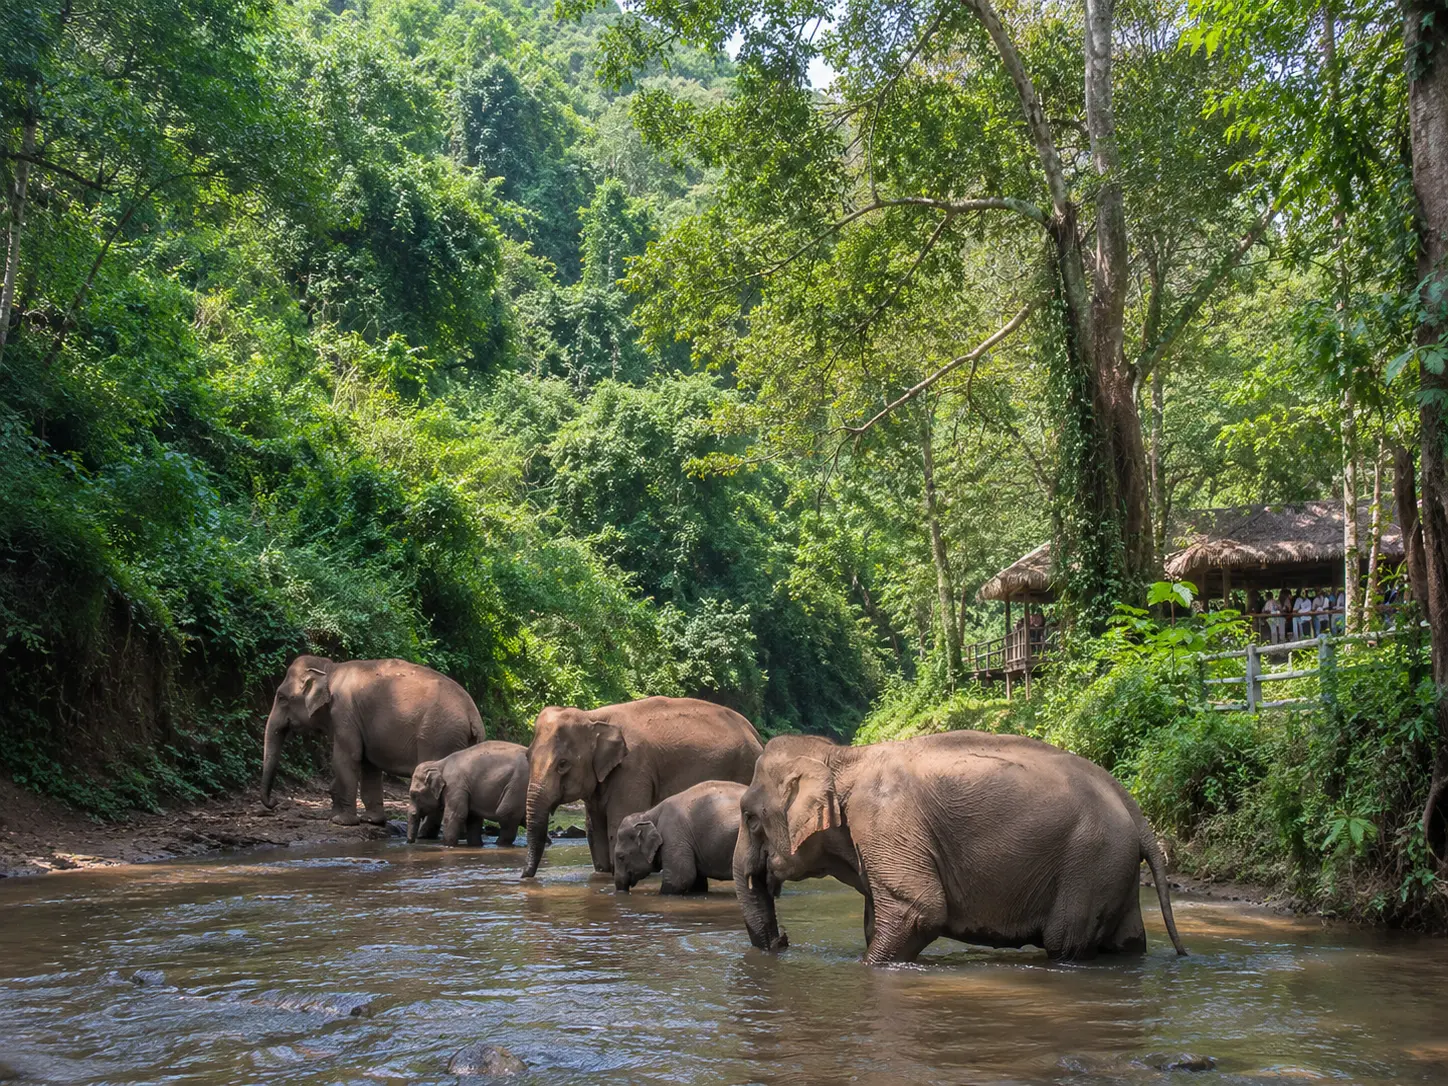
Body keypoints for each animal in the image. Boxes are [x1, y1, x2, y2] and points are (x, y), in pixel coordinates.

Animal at [260, 655, 484, 825]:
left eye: (281, 698)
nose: (274, 803)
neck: (330, 669)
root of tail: (473, 715)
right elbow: (369, 764)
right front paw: (371, 821)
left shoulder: (344, 712)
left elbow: (347, 758)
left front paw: (341, 821)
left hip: (439, 737)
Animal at [520, 696, 764, 879]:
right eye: (527, 757)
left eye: (563, 764)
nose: (523, 876)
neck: (593, 717)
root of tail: (755, 732)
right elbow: (594, 829)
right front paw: (603, 872)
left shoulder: (632, 770)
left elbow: (618, 822)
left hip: (744, 767)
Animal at [613, 780, 749, 894]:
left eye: (621, 857)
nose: (622, 892)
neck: (649, 814)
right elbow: (697, 883)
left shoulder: (673, 834)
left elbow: (680, 878)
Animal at [733, 731, 1188, 964]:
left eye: (750, 817)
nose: (783, 940)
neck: (842, 756)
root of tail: (1131, 803)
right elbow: (877, 919)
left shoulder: (887, 824)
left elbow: (918, 910)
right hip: (1114, 867)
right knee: (1127, 941)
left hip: (1091, 861)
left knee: (1065, 941)